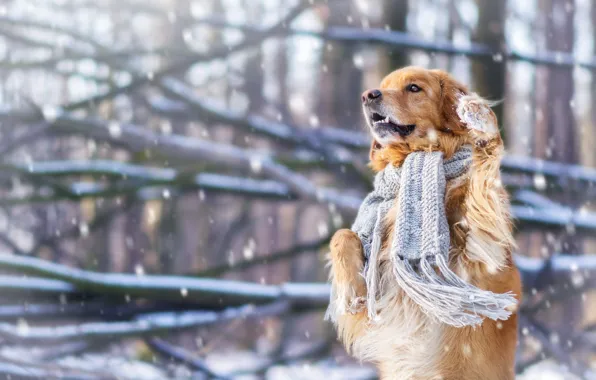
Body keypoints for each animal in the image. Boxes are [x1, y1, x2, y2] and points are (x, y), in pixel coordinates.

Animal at [326, 67, 520, 378]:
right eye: (382, 86)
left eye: (414, 88)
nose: (368, 95)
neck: (416, 156)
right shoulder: (378, 308)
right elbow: (342, 235)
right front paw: (352, 293)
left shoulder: (479, 248)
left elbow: (481, 182)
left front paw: (480, 120)